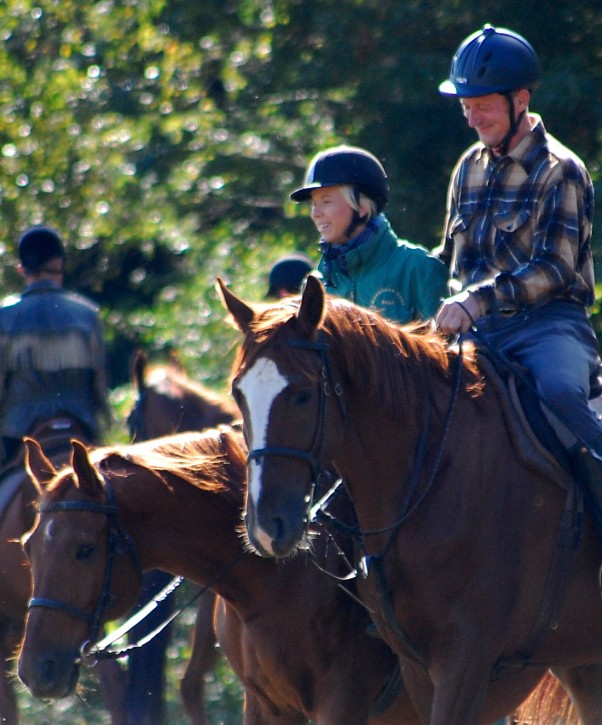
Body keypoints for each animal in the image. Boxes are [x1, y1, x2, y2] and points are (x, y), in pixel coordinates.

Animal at [18, 428, 426, 724]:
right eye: (28, 547)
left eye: (84, 549)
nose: (36, 670)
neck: (276, 577)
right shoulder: (266, 706)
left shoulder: (341, 703)